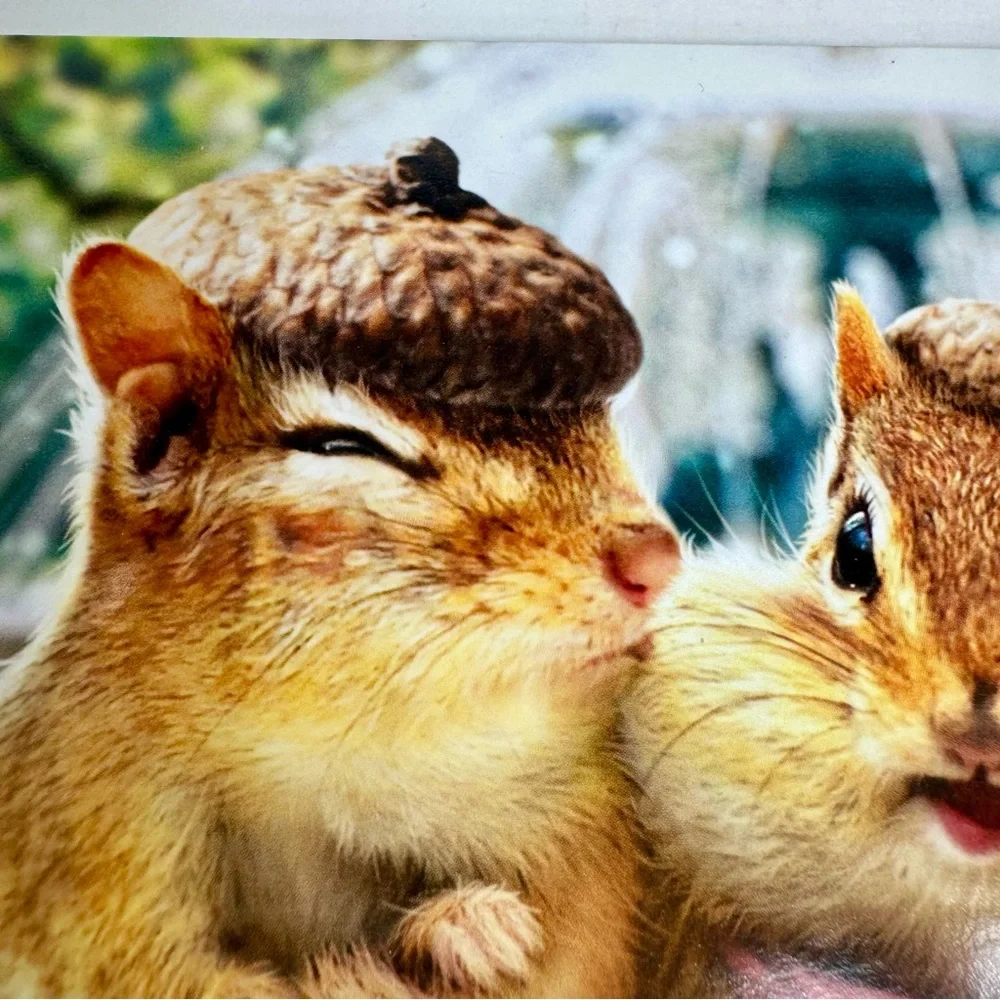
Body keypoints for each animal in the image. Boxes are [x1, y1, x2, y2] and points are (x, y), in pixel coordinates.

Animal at [0, 139, 680, 997]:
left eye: (597, 426)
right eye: (341, 445)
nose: (656, 559)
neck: (323, 774)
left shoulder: (579, 843)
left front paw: (473, 930)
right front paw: (461, 935)